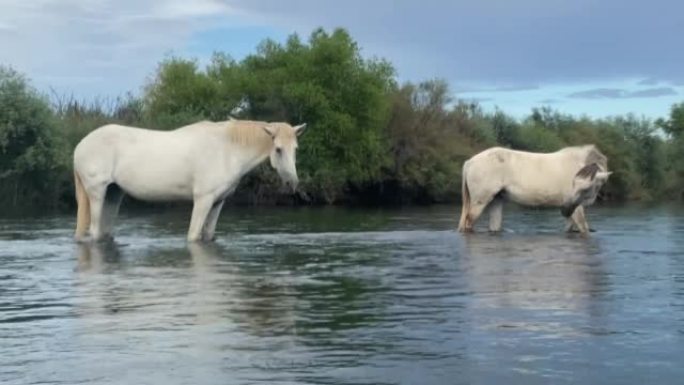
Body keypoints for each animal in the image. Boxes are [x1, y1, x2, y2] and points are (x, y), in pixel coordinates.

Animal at [73, 118, 306, 243]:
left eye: (295, 149)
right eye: (278, 149)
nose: (291, 184)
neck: (226, 150)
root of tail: (80, 146)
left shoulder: (217, 202)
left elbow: (208, 235)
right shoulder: (203, 200)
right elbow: (194, 236)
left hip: (113, 194)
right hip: (97, 193)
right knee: (95, 231)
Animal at [460, 145, 608, 232]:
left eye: (585, 188)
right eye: (575, 185)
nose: (564, 210)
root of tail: (470, 162)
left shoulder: (572, 209)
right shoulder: (576, 208)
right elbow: (584, 228)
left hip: (496, 201)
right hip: (480, 202)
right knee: (468, 222)